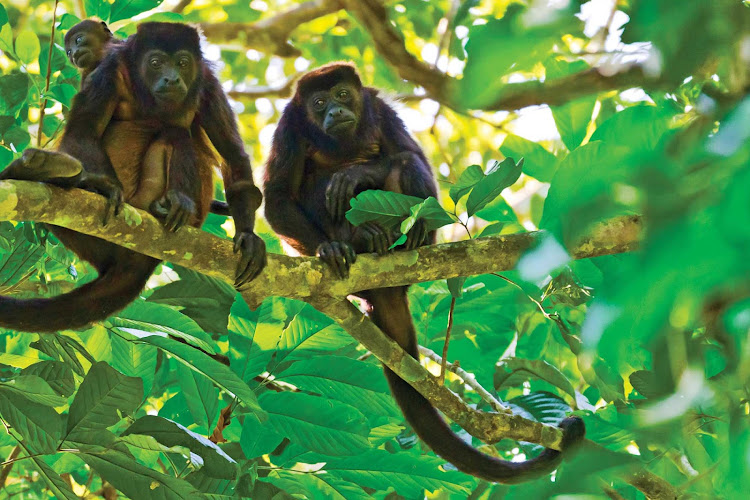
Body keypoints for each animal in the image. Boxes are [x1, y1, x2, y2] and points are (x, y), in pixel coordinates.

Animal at [0, 23, 266, 334]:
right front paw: (105, 186)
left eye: (183, 63)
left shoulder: (209, 84)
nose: (172, 78)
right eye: (156, 63)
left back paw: (176, 204)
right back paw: (46, 172)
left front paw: (247, 236)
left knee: (175, 134)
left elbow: (233, 156)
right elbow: (82, 132)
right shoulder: (107, 72)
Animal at [264, 64, 588, 482]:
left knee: (405, 165)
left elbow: (411, 156)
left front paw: (359, 172)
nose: (335, 112)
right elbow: (276, 197)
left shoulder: (379, 108)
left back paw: (408, 236)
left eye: (343, 95)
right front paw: (328, 246)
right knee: (321, 191)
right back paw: (358, 239)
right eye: (319, 103)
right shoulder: (288, 127)